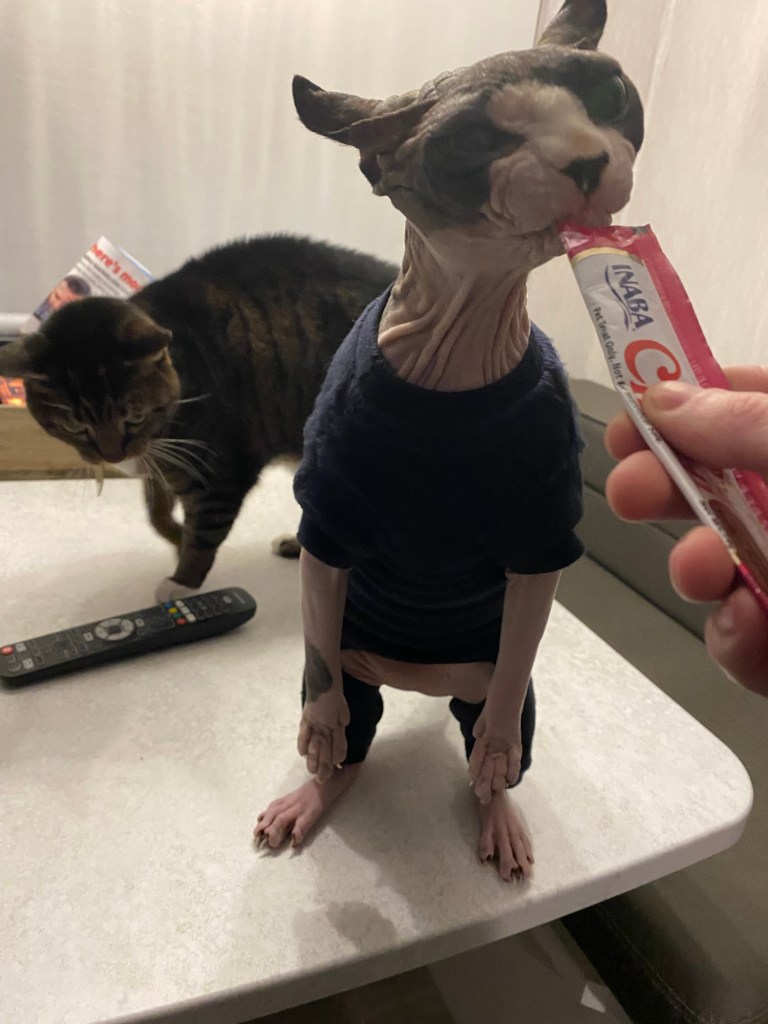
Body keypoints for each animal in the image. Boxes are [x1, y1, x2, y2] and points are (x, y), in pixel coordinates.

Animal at [0, 235, 397, 600]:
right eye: (74, 426)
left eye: (134, 417)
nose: (112, 456)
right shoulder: (162, 465)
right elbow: (155, 514)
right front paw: (176, 536)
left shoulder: (216, 473)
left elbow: (204, 534)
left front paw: (182, 582)